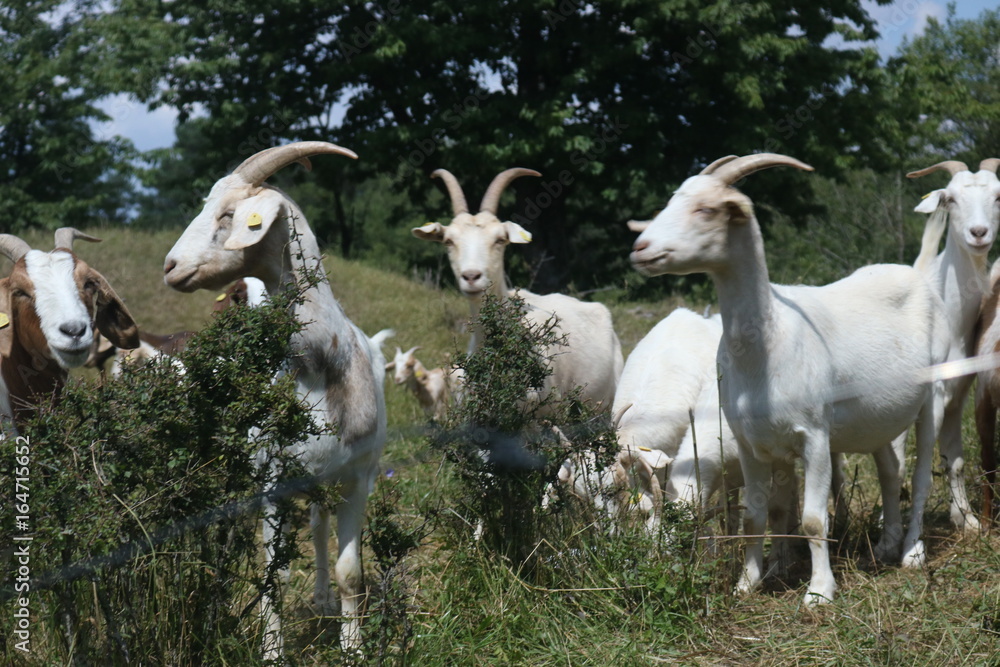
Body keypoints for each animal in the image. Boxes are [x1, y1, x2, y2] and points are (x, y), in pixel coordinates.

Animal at [163, 141, 388, 655]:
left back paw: (323, 599)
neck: (320, 365)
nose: (170, 267)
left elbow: (351, 571)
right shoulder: (273, 480)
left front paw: (353, 649)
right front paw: (271, 652)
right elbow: (275, 576)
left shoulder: (358, 476)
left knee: (319, 525)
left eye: (228, 214)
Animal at [630, 153, 952, 606]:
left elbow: (814, 519)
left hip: (934, 392)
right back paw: (886, 545)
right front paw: (747, 583)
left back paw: (912, 551)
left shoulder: (814, 436)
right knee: (890, 469)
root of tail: (916, 276)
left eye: (706, 209)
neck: (768, 345)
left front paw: (819, 592)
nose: (641, 250)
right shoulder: (751, 443)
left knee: (921, 474)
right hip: (877, 418)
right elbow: (756, 515)